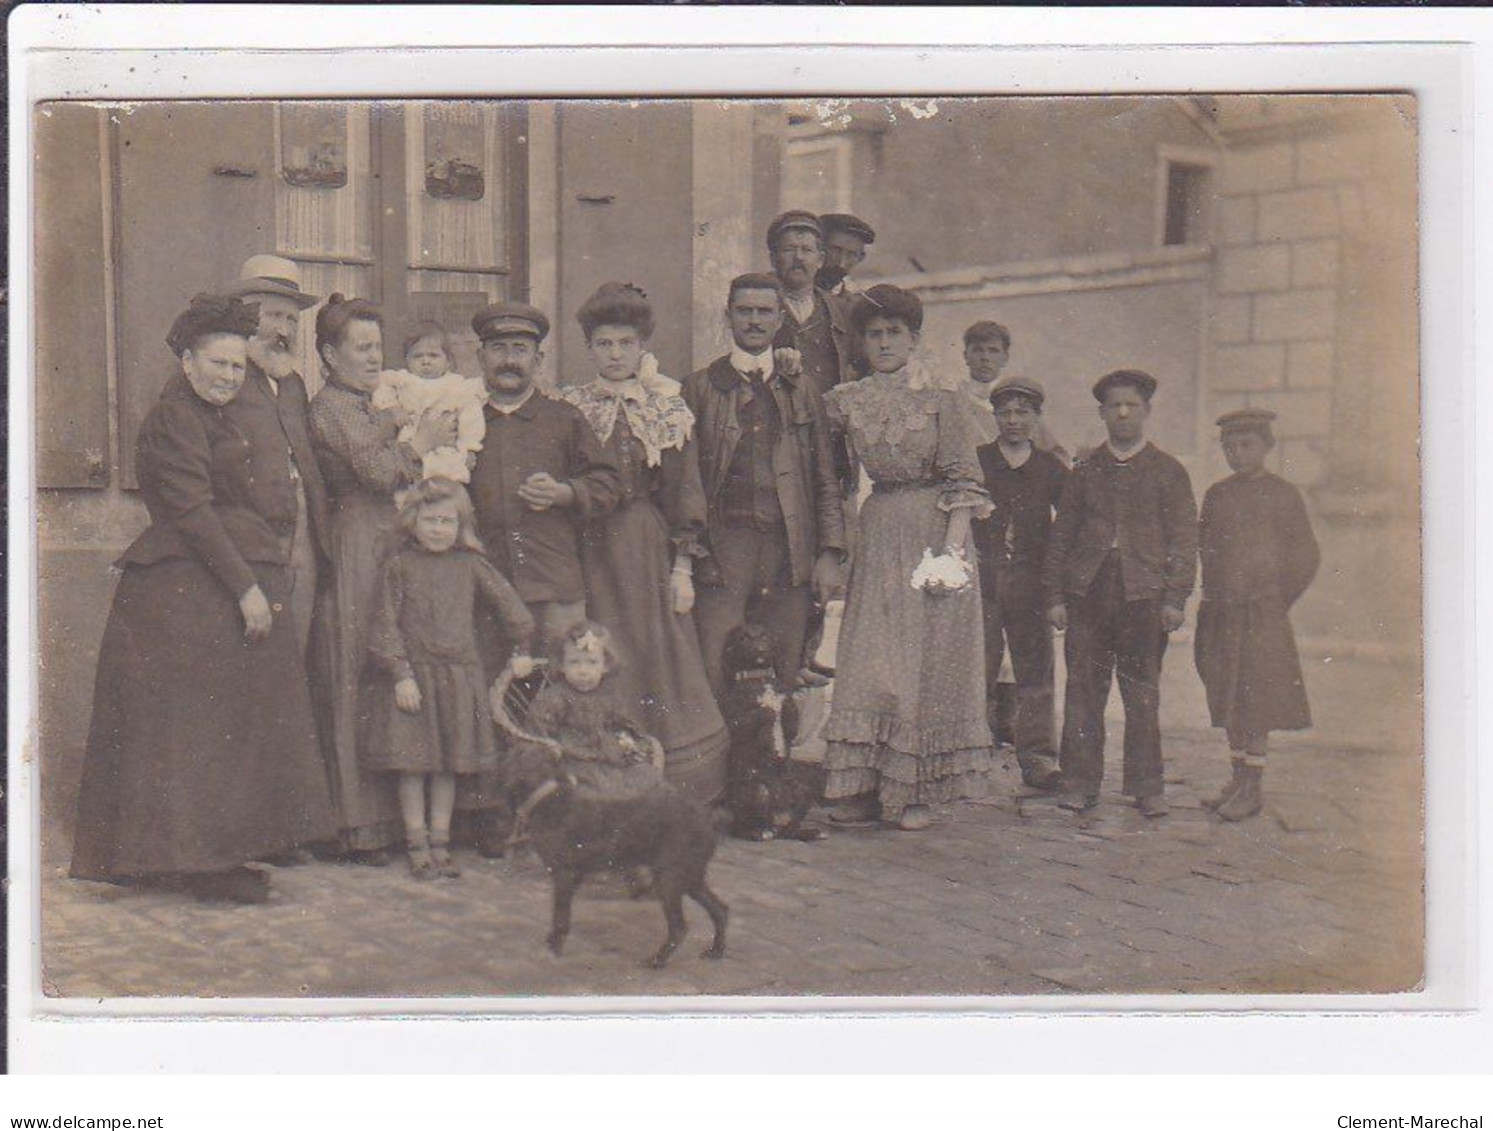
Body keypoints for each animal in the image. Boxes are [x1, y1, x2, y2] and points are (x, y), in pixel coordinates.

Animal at [507, 757, 728, 972]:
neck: (547, 798)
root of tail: (709, 822)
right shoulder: (573, 877)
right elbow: (559, 918)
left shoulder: (563, 876)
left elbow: (561, 918)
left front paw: (554, 949)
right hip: (690, 880)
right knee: (720, 909)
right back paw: (716, 950)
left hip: (669, 881)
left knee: (679, 928)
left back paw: (657, 961)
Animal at [719, 623, 830, 847]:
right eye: (744, 638)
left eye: (765, 636)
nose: (761, 649)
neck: (759, 676)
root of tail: (777, 817)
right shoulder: (736, 720)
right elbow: (759, 714)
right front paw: (767, 710)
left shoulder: (790, 726)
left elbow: (789, 713)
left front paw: (784, 703)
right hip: (757, 792)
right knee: (742, 827)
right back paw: (759, 832)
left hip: (801, 790)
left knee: (791, 830)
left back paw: (811, 832)